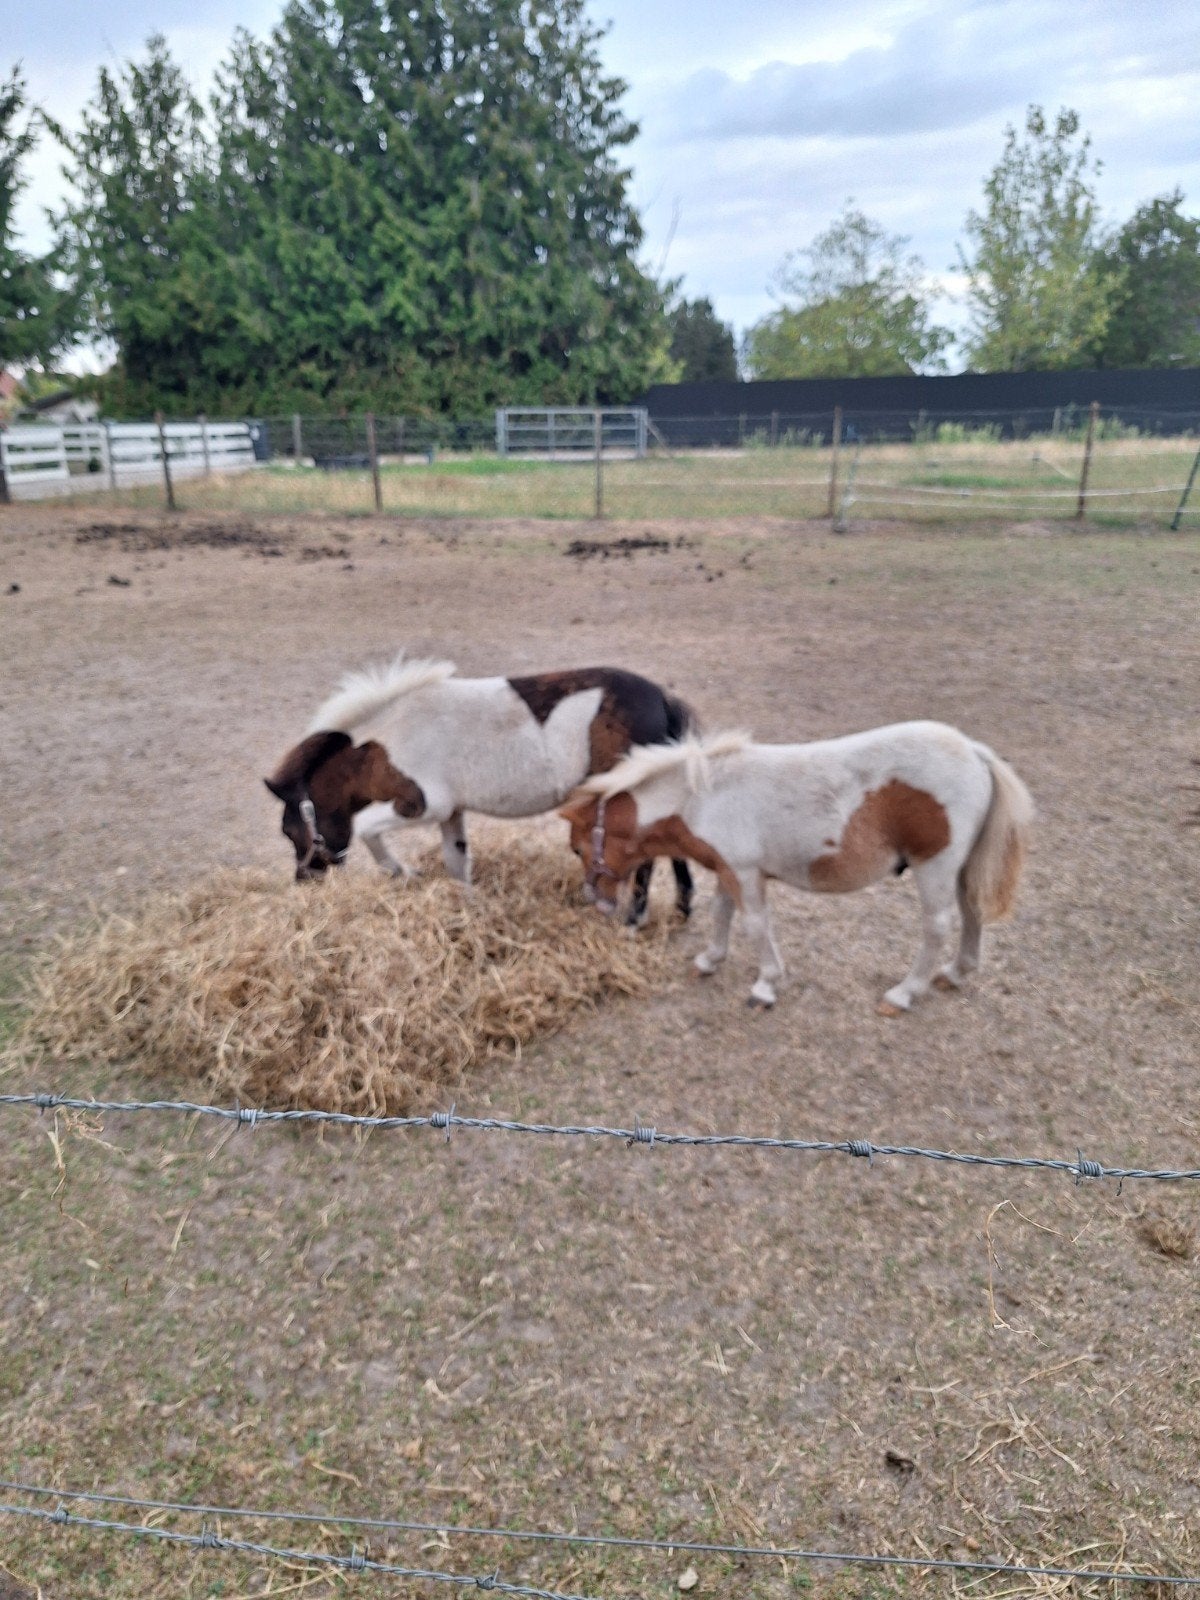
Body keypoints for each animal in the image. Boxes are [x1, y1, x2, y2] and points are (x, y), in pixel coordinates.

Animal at [265, 656, 696, 924]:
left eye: (289, 830)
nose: (303, 882)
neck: (385, 740)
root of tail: (661, 698)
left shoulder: (423, 804)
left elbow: (369, 830)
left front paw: (405, 873)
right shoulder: (451, 812)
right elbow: (456, 860)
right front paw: (467, 907)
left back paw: (635, 918)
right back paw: (682, 906)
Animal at [559, 722, 1033, 1012]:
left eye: (578, 850)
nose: (597, 903)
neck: (705, 797)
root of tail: (973, 751)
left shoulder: (746, 874)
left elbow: (755, 925)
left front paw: (766, 985)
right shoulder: (729, 870)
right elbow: (721, 914)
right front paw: (709, 960)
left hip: (934, 866)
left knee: (936, 926)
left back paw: (903, 993)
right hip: (960, 866)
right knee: (972, 912)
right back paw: (955, 973)